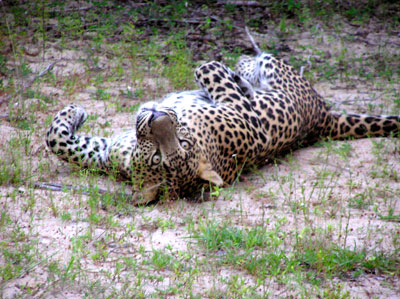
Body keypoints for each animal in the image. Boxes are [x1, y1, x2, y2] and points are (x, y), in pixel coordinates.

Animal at [44, 30, 400, 205]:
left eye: (181, 141)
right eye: (157, 157)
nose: (158, 113)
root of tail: (324, 117)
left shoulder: (241, 111)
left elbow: (207, 66)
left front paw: (75, 111)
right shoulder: (105, 152)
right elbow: (58, 142)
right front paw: (74, 114)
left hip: (275, 68)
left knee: (254, 61)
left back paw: (244, 67)